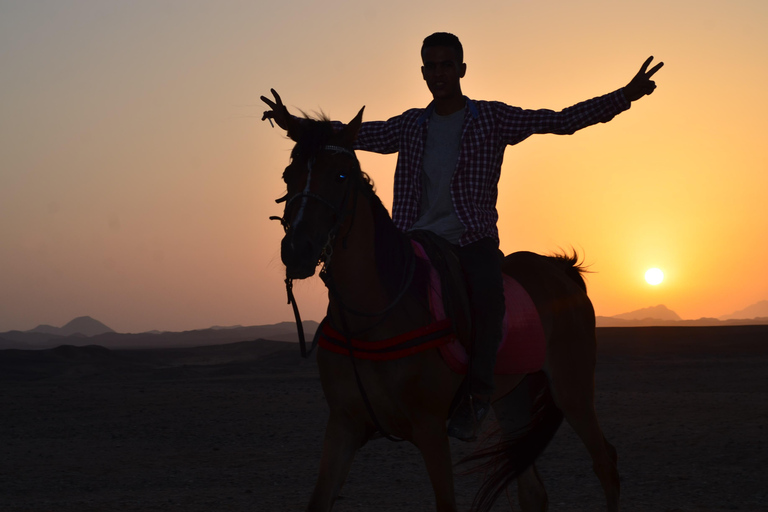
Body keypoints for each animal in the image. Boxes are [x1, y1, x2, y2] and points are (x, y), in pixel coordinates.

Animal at [272, 109, 620, 512]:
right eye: (288, 175)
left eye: (341, 175)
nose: (297, 249)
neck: (374, 316)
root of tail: (561, 270)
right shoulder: (343, 425)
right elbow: (318, 501)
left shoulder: (431, 430)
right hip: (513, 397)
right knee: (533, 490)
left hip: (571, 388)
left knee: (605, 462)